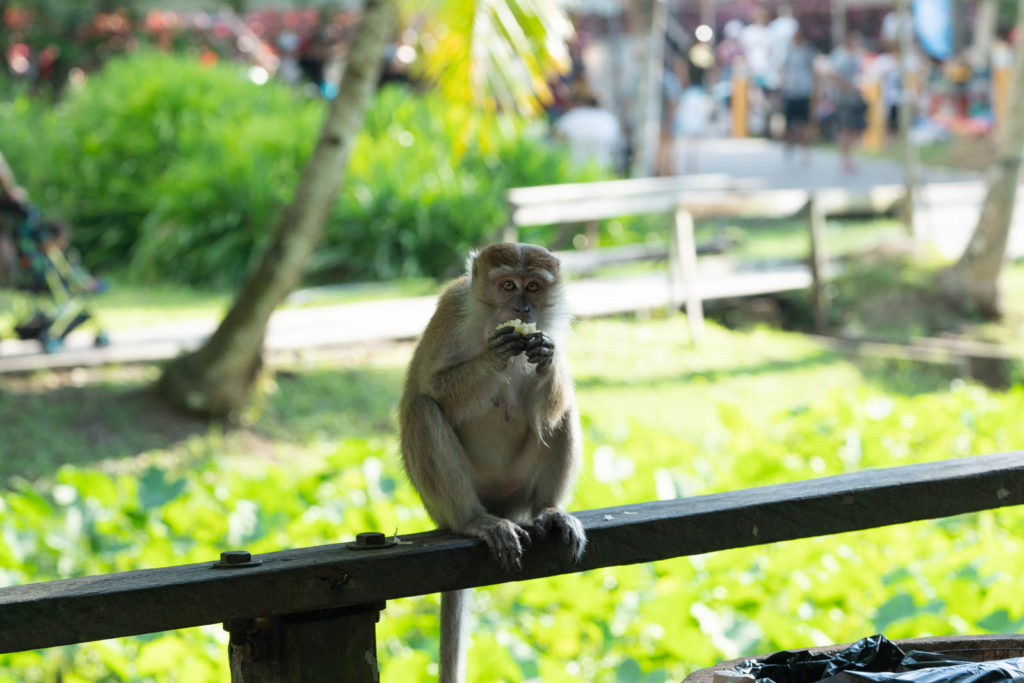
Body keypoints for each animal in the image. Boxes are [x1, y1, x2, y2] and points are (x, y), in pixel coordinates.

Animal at [399, 242, 586, 683]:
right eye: (507, 286)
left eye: (533, 287)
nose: (523, 308)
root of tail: (503, 505)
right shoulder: (451, 309)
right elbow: (434, 387)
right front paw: (493, 355)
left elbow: (550, 409)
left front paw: (546, 356)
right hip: (446, 501)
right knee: (422, 409)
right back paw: (476, 521)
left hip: (519, 491)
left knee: (563, 408)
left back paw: (550, 511)